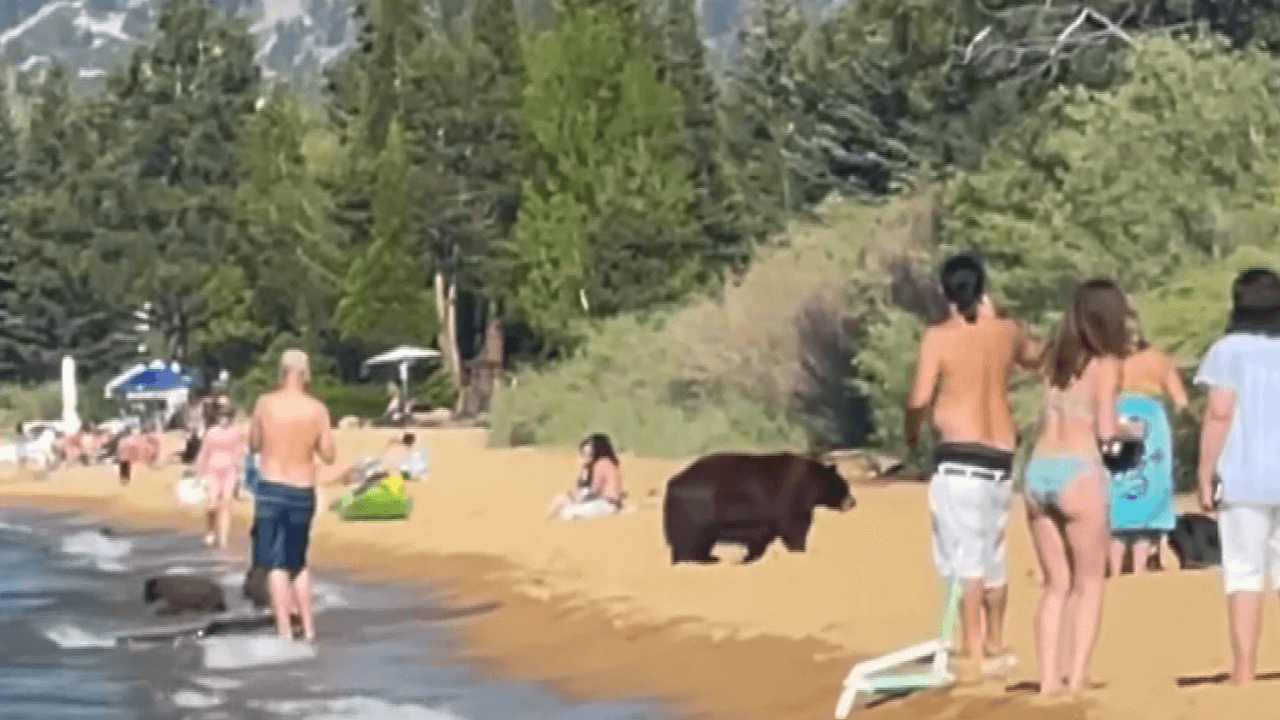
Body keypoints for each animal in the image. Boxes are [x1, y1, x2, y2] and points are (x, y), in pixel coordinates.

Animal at [662, 452, 855, 565]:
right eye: (844, 485)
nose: (853, 502)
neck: (811, 482)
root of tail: (673, 484)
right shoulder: (792, 499)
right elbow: (796, 528)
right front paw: (799, 551)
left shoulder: (766, 518)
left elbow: (761, 538)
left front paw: (748, 558)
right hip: (697, 512)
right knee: (690, 541)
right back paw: (706, 559)